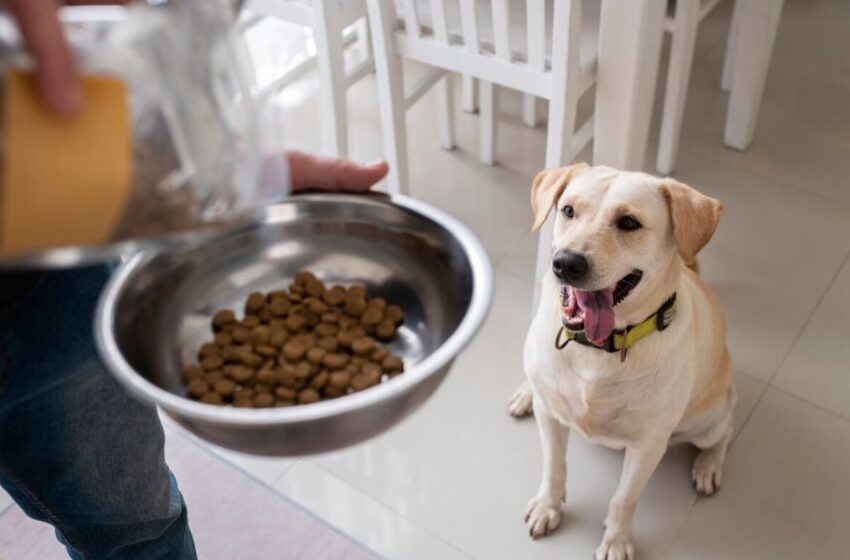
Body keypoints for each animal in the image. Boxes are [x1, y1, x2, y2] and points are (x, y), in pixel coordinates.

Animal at [506, 164, 732, 556]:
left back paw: (708, 466)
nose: (566, 263)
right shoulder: (550, 417)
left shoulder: (648, 445)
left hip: (708, 419)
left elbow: (624, 498)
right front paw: (548, 506)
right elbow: (554, 465)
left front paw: (617, 540)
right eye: (568, 210)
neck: (596, 349)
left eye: (628, 223)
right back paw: (526, 393)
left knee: (725, 433)